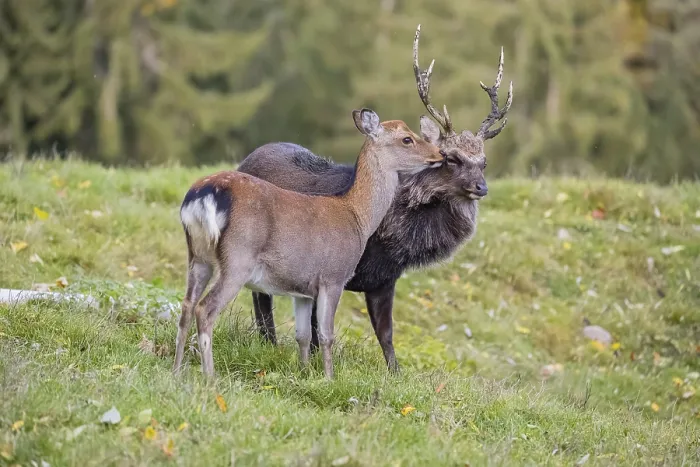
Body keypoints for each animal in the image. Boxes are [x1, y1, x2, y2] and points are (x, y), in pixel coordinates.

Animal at [174, 108, 446, 379]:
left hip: (197, 256)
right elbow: (326, 335)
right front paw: (329, 378)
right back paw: (210, 377)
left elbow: (303, 335)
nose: (439, 154)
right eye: (407, 139)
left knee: (186, 306)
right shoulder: (333, 277)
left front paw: (304, 373)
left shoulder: (302, 288)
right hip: (237, 259)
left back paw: (176, 371)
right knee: (205, 309)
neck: (357, 218)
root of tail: (203, 195)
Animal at [236, 24, 513, 372]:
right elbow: (316, 330)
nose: (481, 187)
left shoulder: (385, 280)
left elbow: (386, 334)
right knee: (261, 300)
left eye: (484, 162)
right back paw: (268, 343)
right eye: (451, 158)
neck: (386, 237)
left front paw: (395, 373)